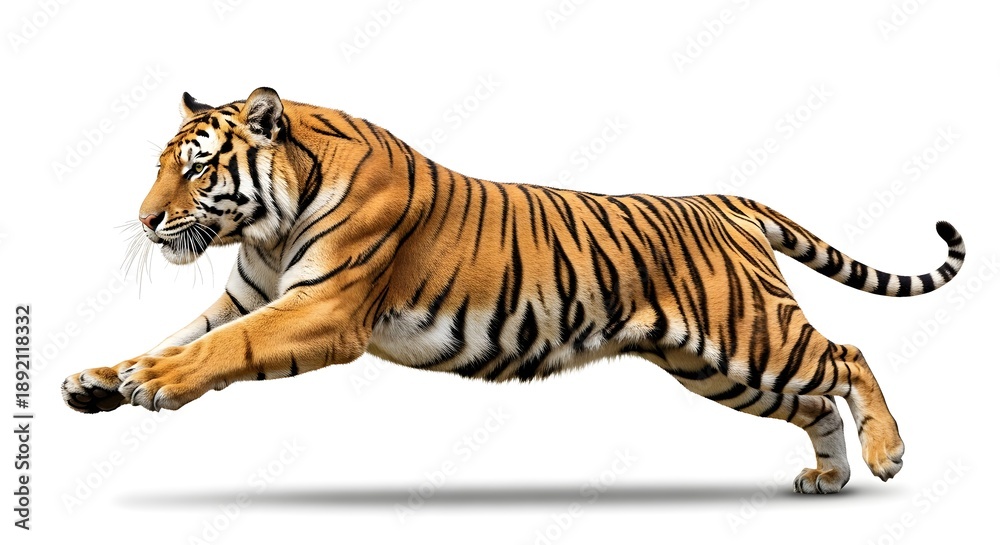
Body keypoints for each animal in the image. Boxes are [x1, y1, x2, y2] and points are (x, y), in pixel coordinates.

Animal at [61, 87, 965, 494]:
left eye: (195, 168)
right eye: (159, 166)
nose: (144, 221)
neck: (268, 226)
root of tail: (722, 200)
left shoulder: (321, 307)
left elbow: (219, 347)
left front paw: (152, 382)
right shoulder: (251, 293)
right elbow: (183, 331)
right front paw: (100, 380)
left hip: (750, 336)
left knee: (848, 353)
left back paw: (886, 454)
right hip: (717, 367)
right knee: (814, 398)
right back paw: (829, 476)